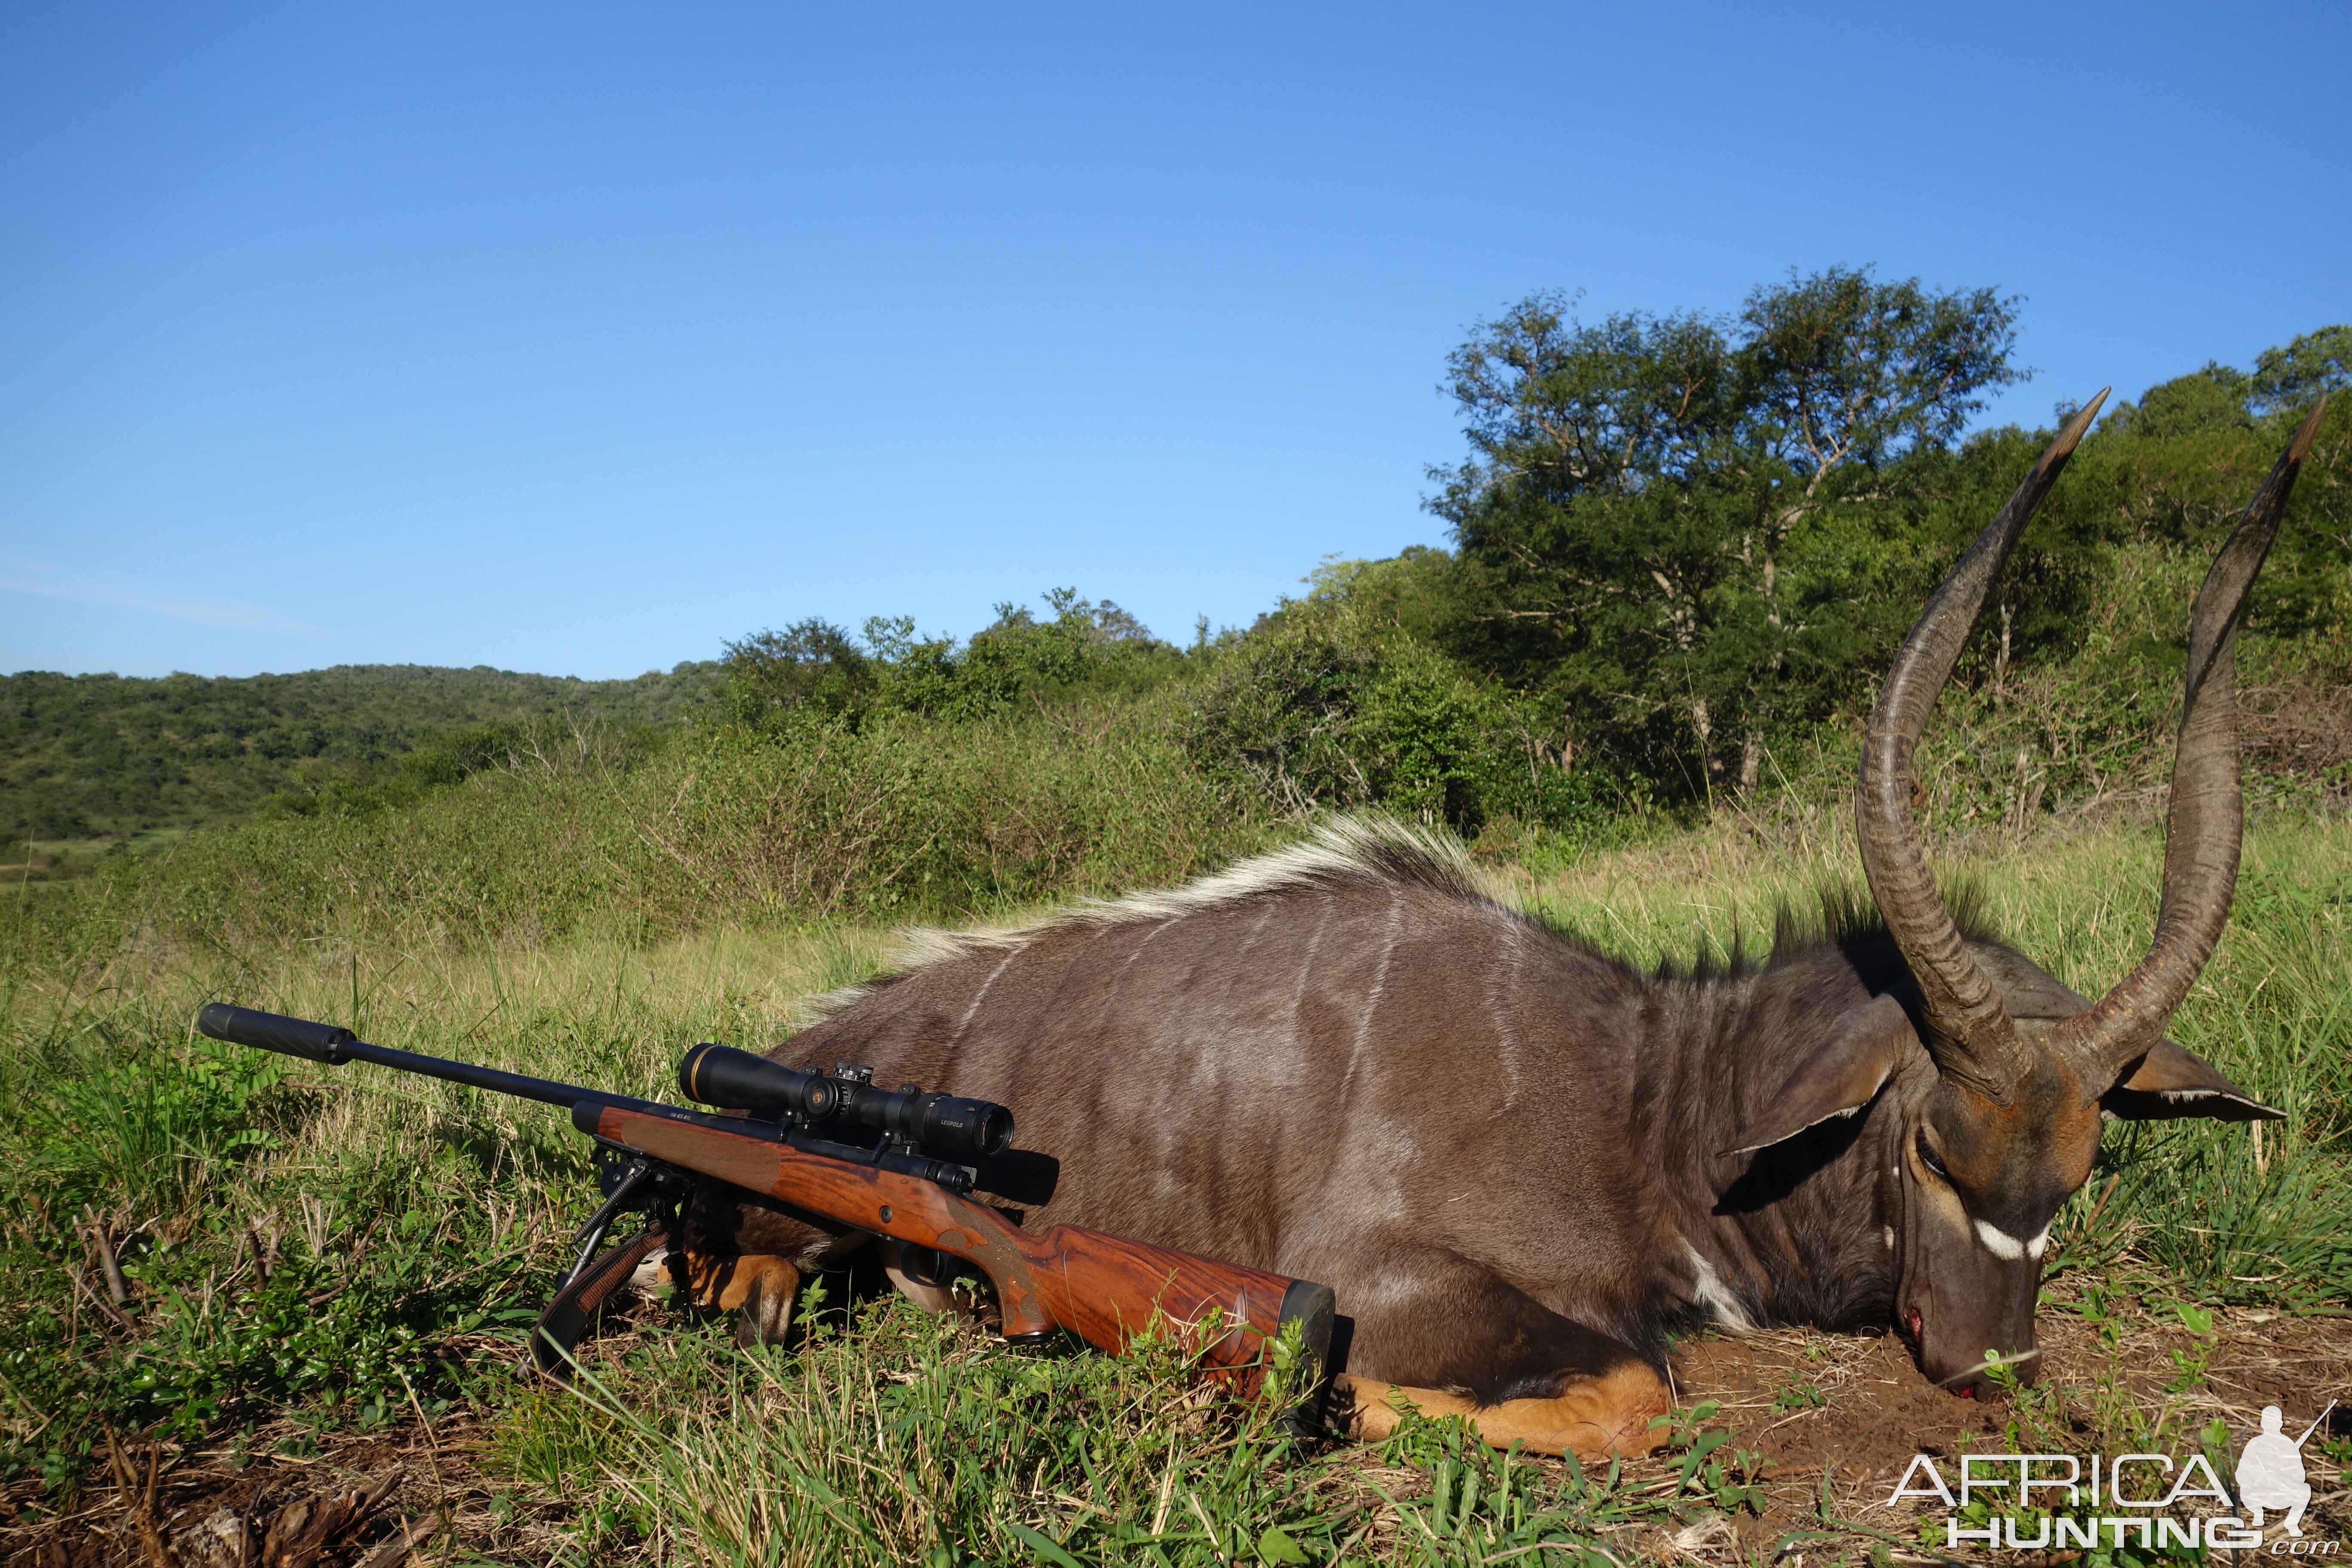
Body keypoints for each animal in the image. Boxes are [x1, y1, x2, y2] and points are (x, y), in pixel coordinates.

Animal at [677, 392, 2314, 1457]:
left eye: (2082, 1166)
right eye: (1930, 1145)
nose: (1994, 1368)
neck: (1645, 1097)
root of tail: (832, 1034)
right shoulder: (1380, 1273)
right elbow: (1636, 1392)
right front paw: (1345, 1399)